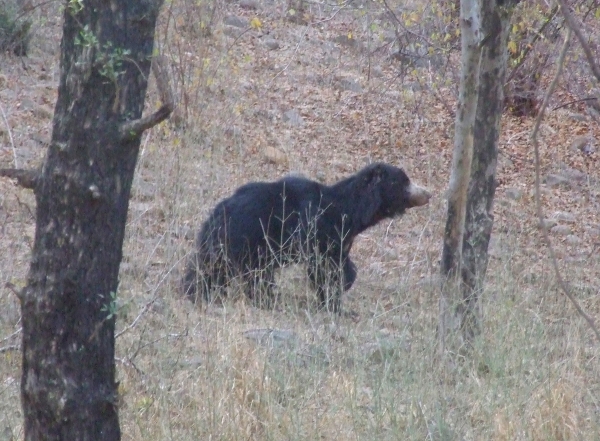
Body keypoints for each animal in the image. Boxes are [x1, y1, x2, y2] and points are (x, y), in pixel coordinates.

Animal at [183, 162, 432, 312]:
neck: (349, 212)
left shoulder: (341, 237)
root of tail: (219, 211)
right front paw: (334, 298)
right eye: (405, 181)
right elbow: (324, 267)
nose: (428, 193)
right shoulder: (316, 229)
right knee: (239, 272)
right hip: (247, 239)